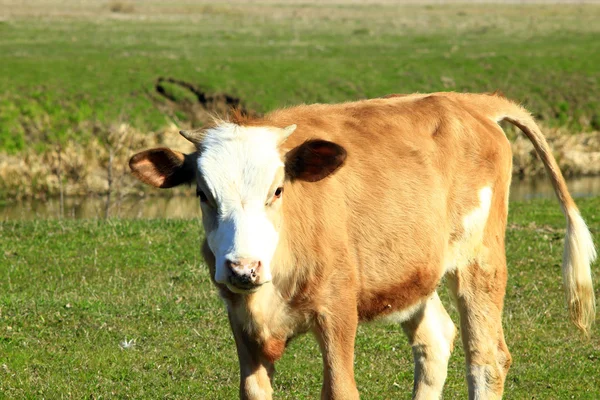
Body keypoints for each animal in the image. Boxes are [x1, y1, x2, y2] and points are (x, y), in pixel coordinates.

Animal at [127, 92, 596, 400]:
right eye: (203, 194)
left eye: (277, 190)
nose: (244, 267)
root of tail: (468, 102)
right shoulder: (240, 319)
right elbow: (254, 390)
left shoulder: (338, 308)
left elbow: (340, 389)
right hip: (413, 271)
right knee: (435, 340)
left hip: (480, 260)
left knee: (487, 359)